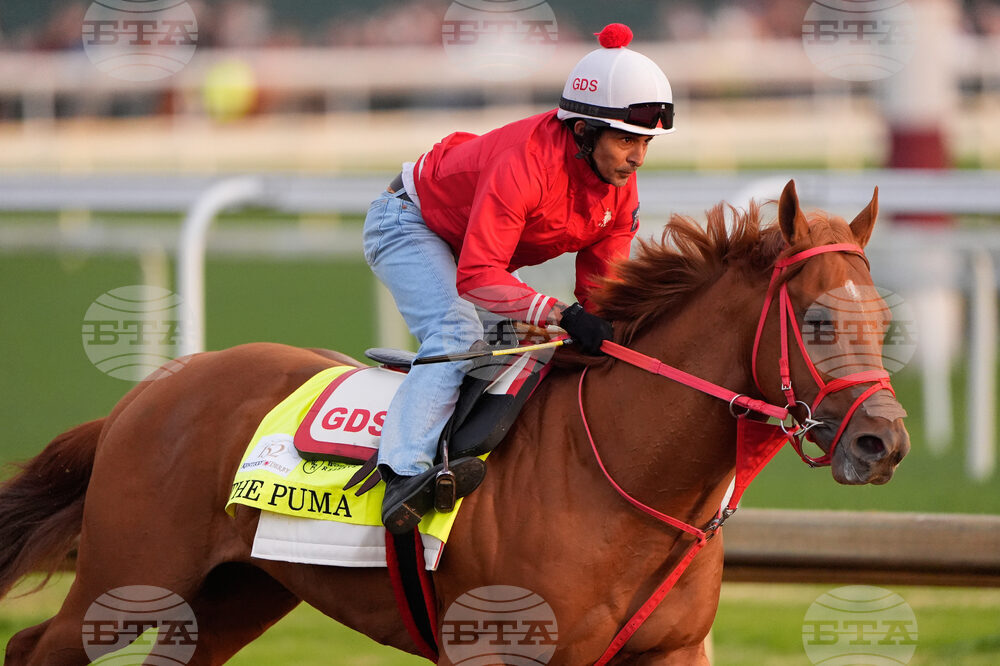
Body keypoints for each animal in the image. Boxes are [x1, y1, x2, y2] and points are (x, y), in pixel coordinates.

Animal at [0, 181, 909, 665]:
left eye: (884, 321)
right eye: (817, 322)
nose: (886, 442)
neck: (624, 477)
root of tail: (149, 393)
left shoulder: (673, 650)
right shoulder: (489, 643)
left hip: (235, 593)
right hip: (130, 579)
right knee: (34, 646)